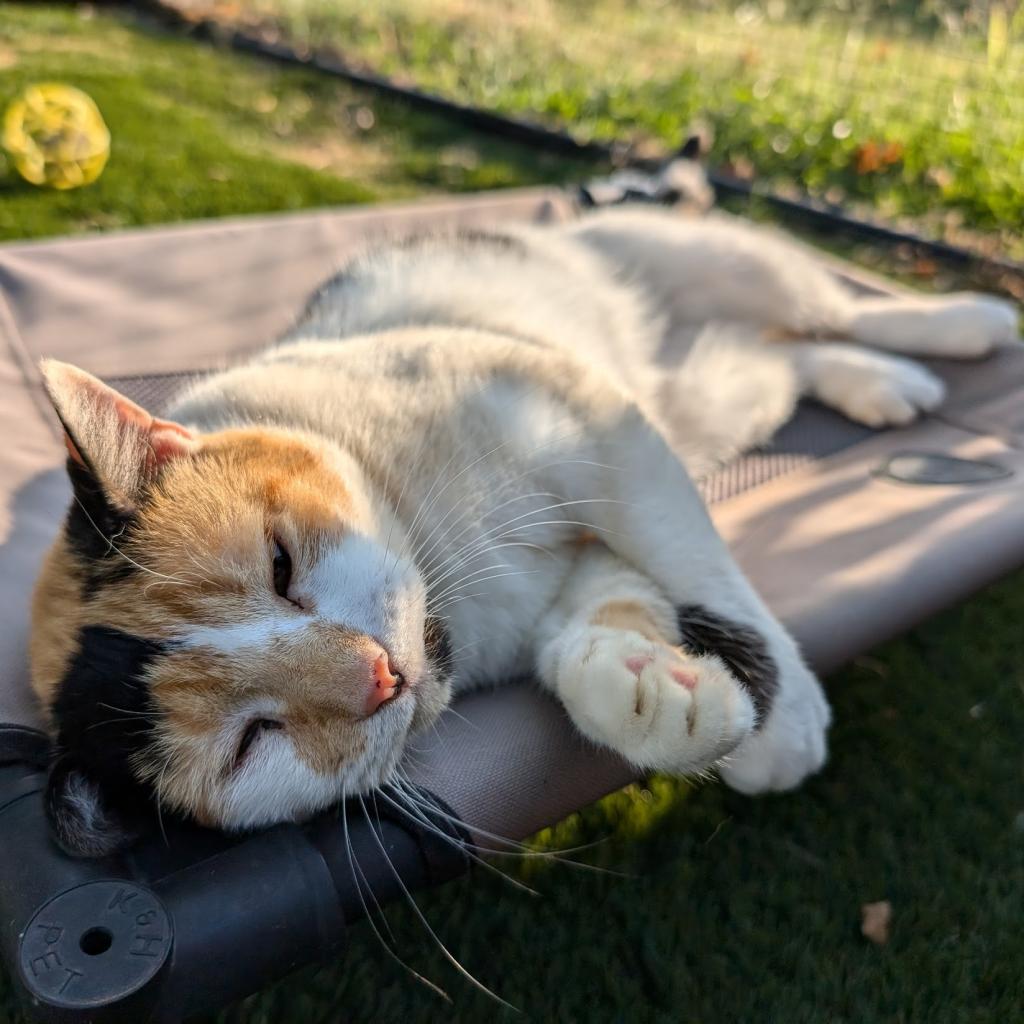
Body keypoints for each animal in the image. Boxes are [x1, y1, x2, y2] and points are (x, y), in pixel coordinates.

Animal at [29, 192, 1015, 856]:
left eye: (280, 563)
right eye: (249, 743)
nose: (377, 674)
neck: (443, 554)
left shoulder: (599, 424)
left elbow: (704, 571)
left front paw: (786, 721)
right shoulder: (572, 567)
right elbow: (606, 620)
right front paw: (650, 691)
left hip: (719, 269)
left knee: (836, 309)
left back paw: (964, 323)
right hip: (711, 397)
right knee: (782, 356)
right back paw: (883, 384)